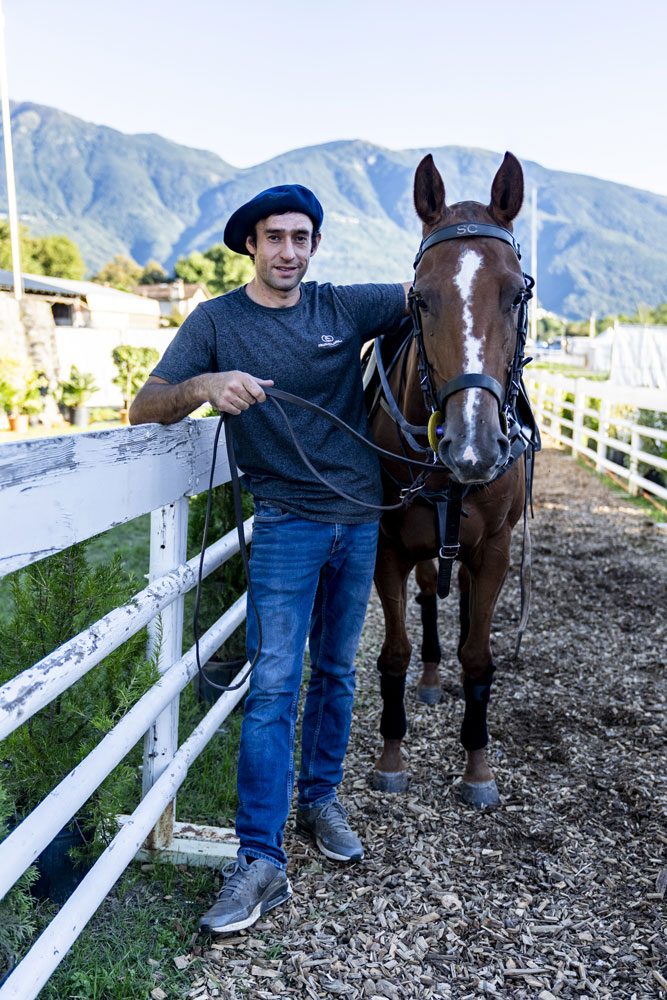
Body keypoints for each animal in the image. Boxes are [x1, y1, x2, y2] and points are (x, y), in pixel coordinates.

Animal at [368, 151, 537, 808]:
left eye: (516, 294)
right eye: (419, 298)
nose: (472, 446)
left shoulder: (494, 549)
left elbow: (480, 656)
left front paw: (478, 767)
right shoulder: (386, 547)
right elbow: (395, 652)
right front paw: (392, 756)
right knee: (427, 600)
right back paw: (433, 677)